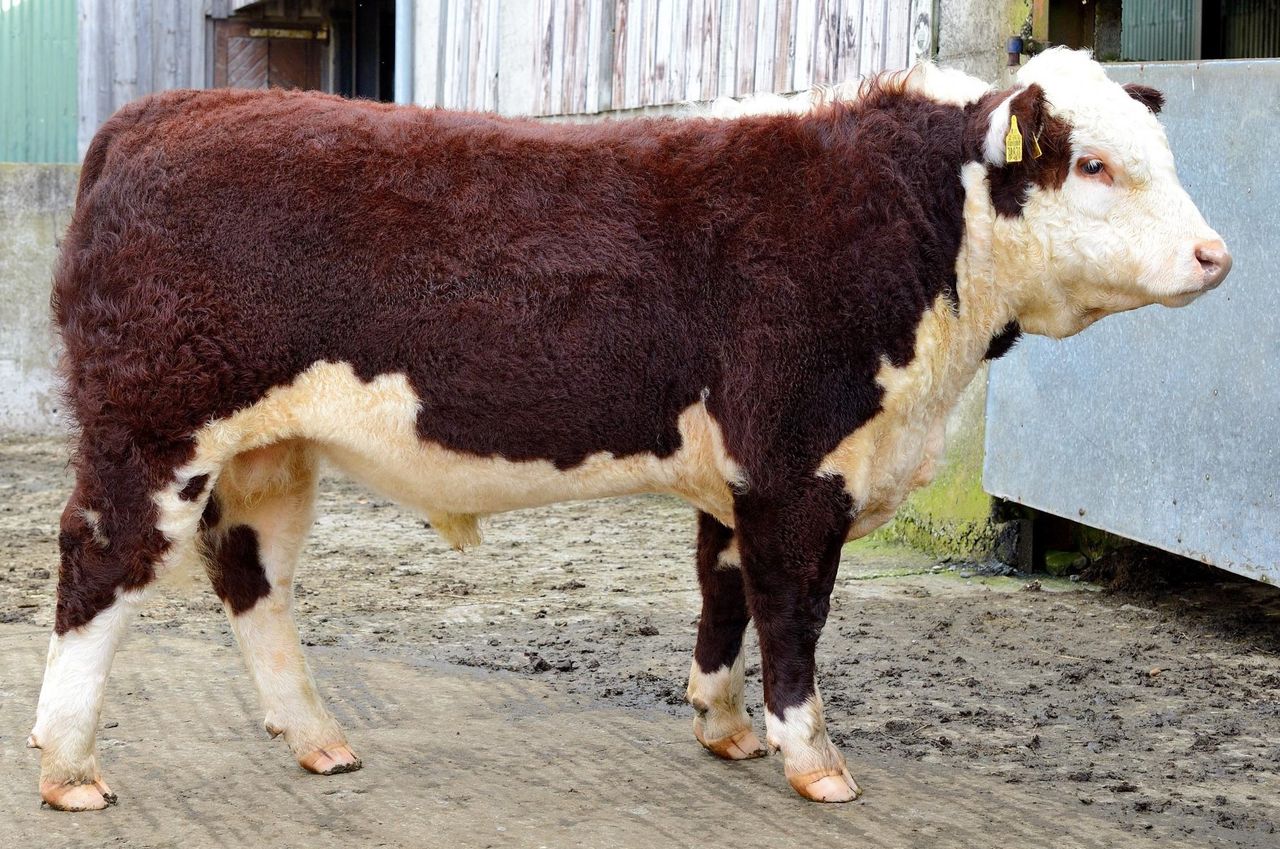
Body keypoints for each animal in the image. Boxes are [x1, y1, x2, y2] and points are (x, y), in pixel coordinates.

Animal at [31, 48, 1230, 811]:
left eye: (1164, 155)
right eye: (1092, 163)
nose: (1214, 255)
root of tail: (163, 113)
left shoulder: (739, 470)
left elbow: (724, 591)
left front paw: (723, 725)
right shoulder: (799, 464)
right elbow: (793, 614)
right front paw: (814, 760)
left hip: (267, 452)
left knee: (253, 577)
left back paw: (317, 739)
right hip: (151, 429)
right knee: (99, 562)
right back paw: (68, 766)